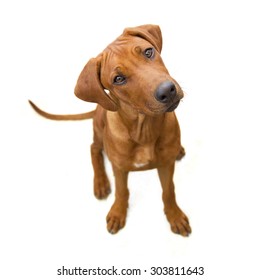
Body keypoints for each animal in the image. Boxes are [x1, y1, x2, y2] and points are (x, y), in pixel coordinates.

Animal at [30, 24, 191, 236]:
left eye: (149, 52)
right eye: (118, 79)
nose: (167, 91)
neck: (144, 129)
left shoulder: (166, 164)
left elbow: (169, 190)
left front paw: (175, 215)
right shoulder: (119, 168)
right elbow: (121, 191)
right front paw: (117, 213)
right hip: (99, 129)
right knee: (94, 149)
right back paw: (100, 182)